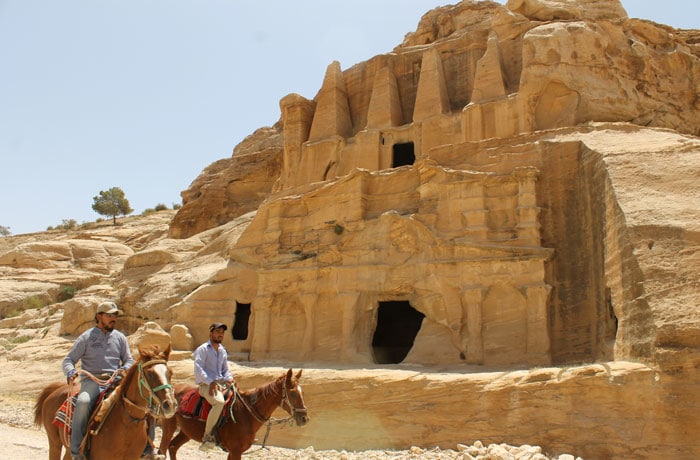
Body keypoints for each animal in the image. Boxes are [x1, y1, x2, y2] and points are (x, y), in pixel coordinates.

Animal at [34, 344, 179, 460]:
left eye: (170, 373)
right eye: (151, 374)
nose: (170, 405)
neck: (127, 423)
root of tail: (56, 389)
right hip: (55, 443)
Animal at [161, 368, 308, 460]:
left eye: (302, 392)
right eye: (293, 393)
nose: (305, 418)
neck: (245, 414)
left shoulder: (234, 451)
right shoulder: (236, 450)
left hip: (186, 432)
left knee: (172, 447)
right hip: (169, 427)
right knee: (163, 449)